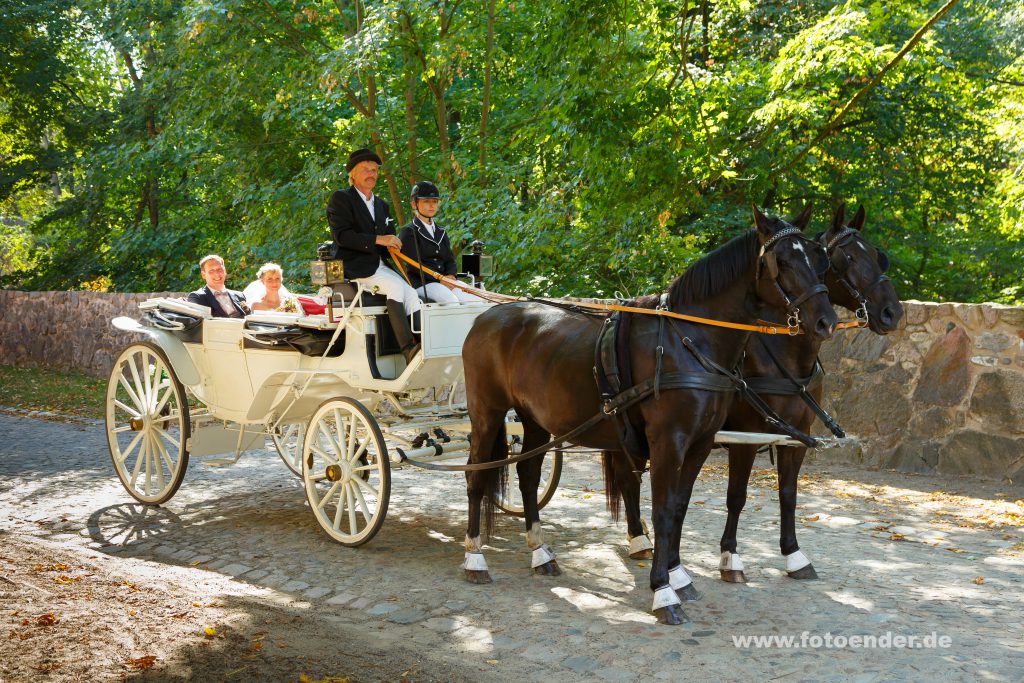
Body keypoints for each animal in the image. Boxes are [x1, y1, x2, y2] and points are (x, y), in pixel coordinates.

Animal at [460, 204, 835, 626]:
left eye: (819, 259)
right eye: (781, 261)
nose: (826, 321)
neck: (688, 340)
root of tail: (486, 317)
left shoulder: (701, 443)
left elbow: (680, 508)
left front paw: (678, 575)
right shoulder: (670, 442)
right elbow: (663, 510)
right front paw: (663, 591)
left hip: (536, 420)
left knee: (527, 475)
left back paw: (540, 553)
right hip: (487, 414)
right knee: (476, 476)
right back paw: (475, 557)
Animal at [602, 201, 901, 581]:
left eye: (877, 256)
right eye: (843, 259)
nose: (893, 312)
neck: (786, 357)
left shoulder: (796, 434)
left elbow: (788, 494)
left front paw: (793, 553)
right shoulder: (745, 435)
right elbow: (737, 495)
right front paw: (730, 556)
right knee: (628, 478)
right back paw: (639, 539)